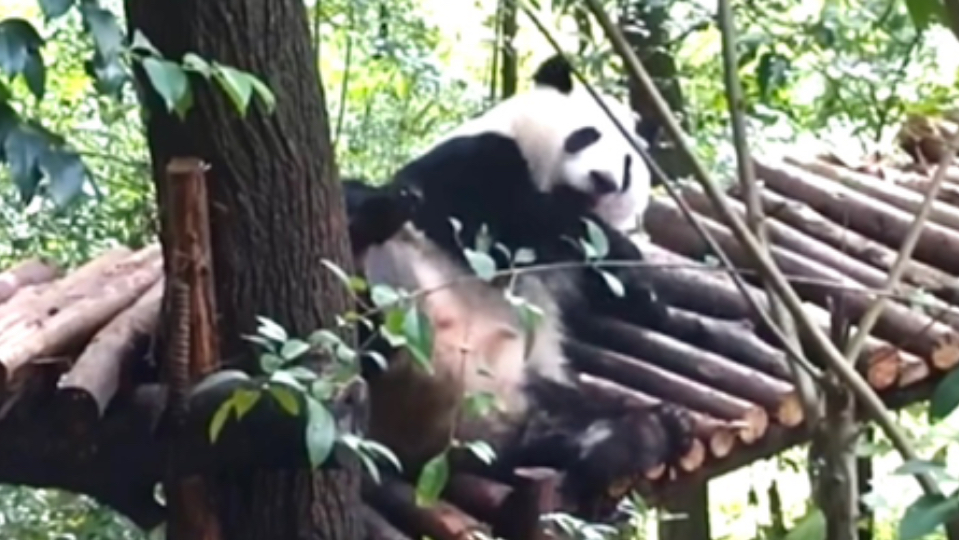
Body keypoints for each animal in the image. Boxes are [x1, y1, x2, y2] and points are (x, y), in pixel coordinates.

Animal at [342, 54, 692, 516]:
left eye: (628, 165)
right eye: (587, 134)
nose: (604, 180)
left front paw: (647, 296)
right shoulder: (478, 161)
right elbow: (490, 219)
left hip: (520, 398)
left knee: (572, 422)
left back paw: (647, 433)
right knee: (357, 211)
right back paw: (374, 221)